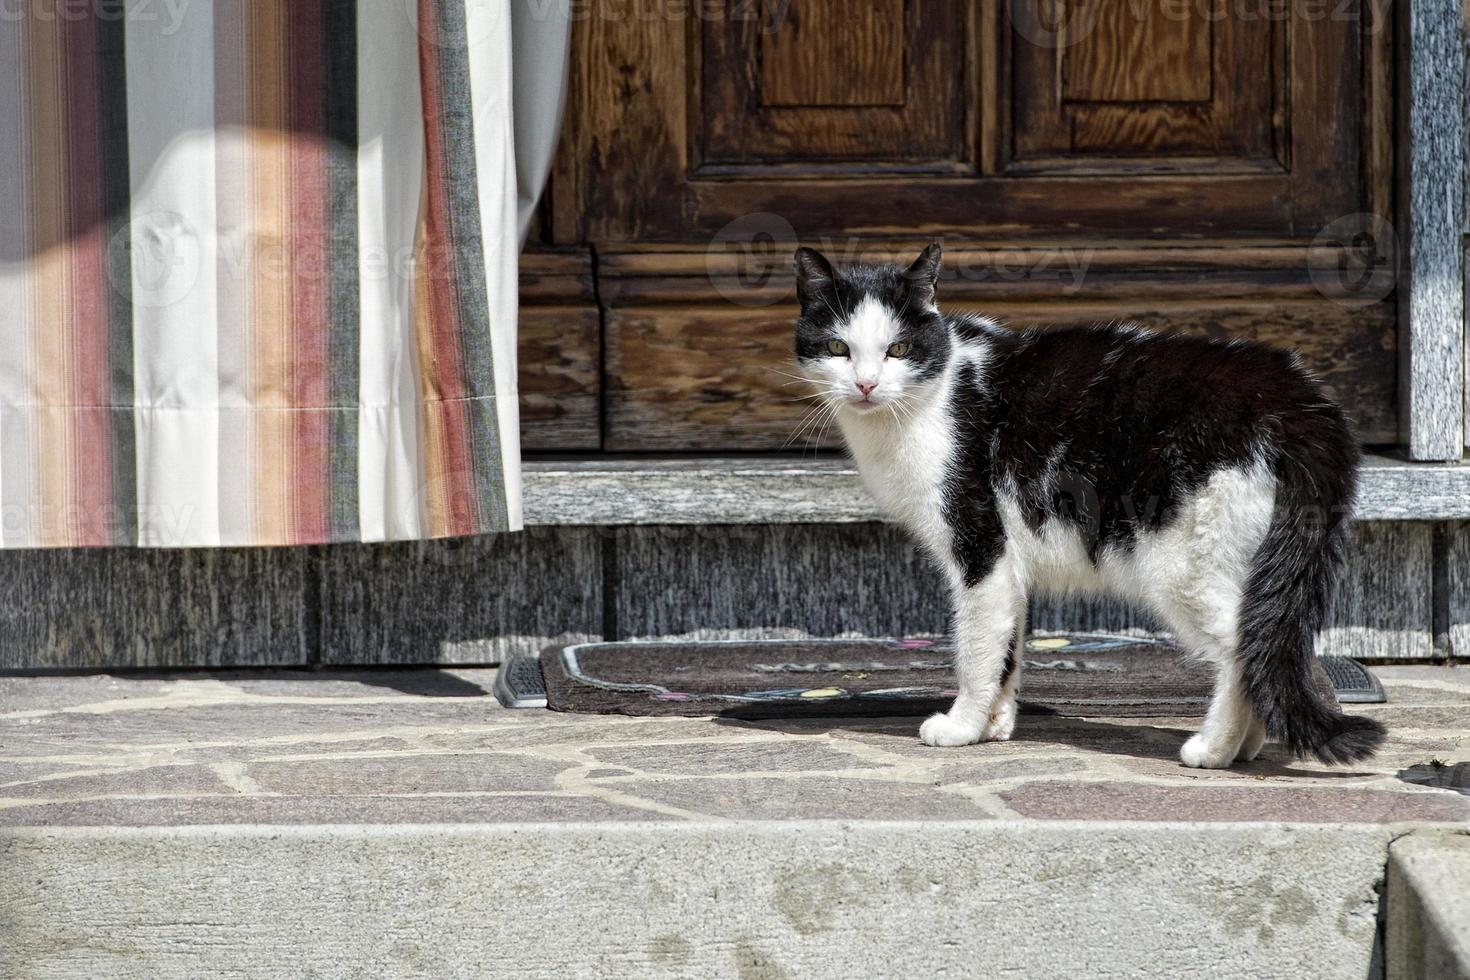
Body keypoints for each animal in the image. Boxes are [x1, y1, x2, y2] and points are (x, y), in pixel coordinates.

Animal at [799, 243, 1381, 764]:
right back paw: (1247, 748)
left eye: (897, 350)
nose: (866, 384)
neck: (932, 393)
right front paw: (993, 726)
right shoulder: (1008, 565)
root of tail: (1295, 398)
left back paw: (1214, 751)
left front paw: (962, 726)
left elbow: (976, 647)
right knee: (1262, 636)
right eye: (837, 349)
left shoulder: (980, 547)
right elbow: (1008, 649)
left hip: (1182, 564)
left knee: (1244, 643)